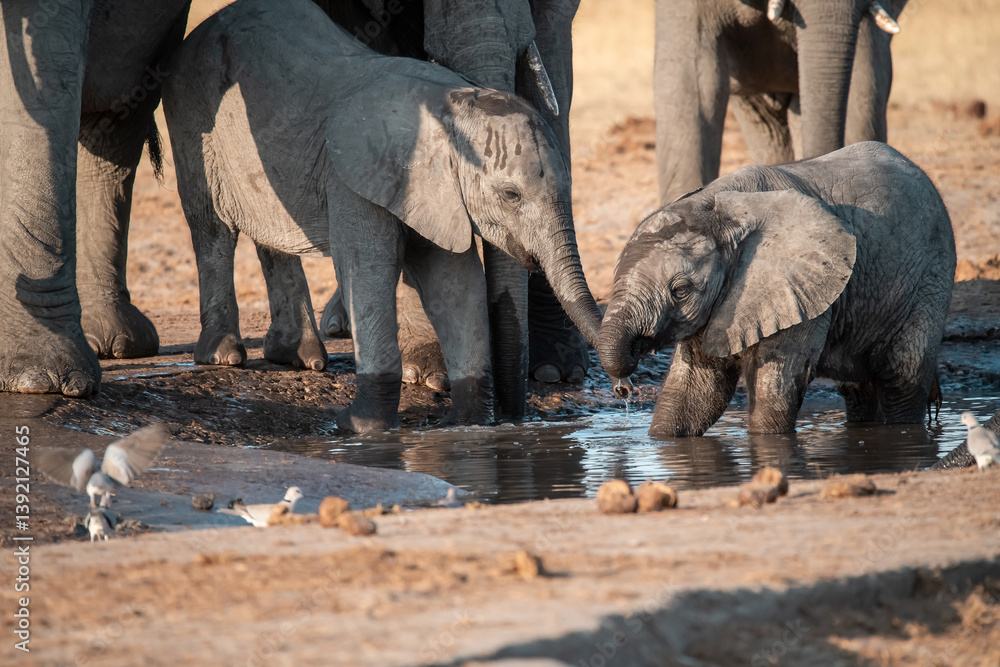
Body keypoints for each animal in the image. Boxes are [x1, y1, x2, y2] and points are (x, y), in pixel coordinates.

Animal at [597, 142, 956, 436]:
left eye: (681, 290)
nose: (623, 391)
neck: (718, 207)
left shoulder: (802, 291)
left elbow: (775, 388)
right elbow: (695, 392)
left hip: (929, 278)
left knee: (901, 379)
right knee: (859, 390)